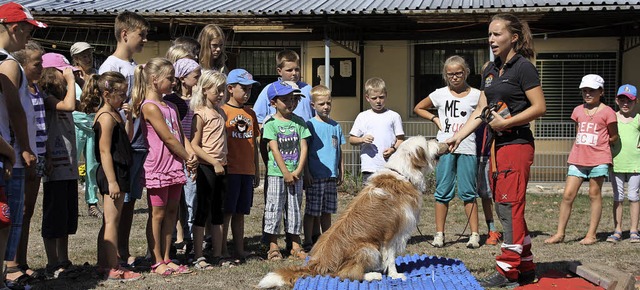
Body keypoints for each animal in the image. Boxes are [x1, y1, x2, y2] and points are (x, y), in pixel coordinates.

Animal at [258, 136, 448, 288]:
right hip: (368, 248)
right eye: (426, 142)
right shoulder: (391, 234)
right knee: (346, 274)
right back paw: (372, 274)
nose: (437, 139)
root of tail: (317, 263)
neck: (403, 173)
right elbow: (391, 258)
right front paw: (395, 275)